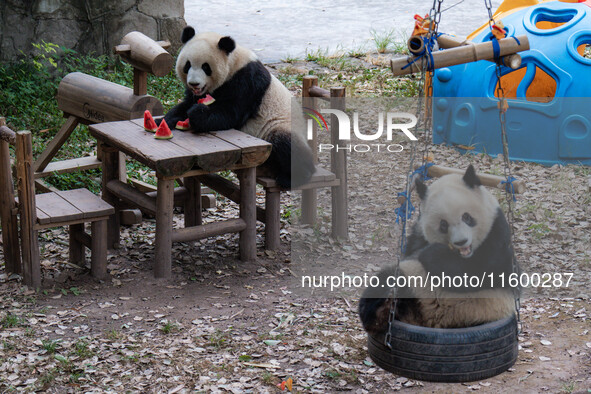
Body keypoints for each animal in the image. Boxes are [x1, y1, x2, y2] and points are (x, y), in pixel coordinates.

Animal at [157, 26, 314, 189]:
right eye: (187, 65)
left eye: (206, 67)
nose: (194, 84)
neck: (234, 63)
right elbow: (185, 105)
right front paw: (162, 121)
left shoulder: (246, 81)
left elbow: (231, 113)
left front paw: (197, 113)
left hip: (279, 126)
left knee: (286, 144)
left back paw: (292, 177)